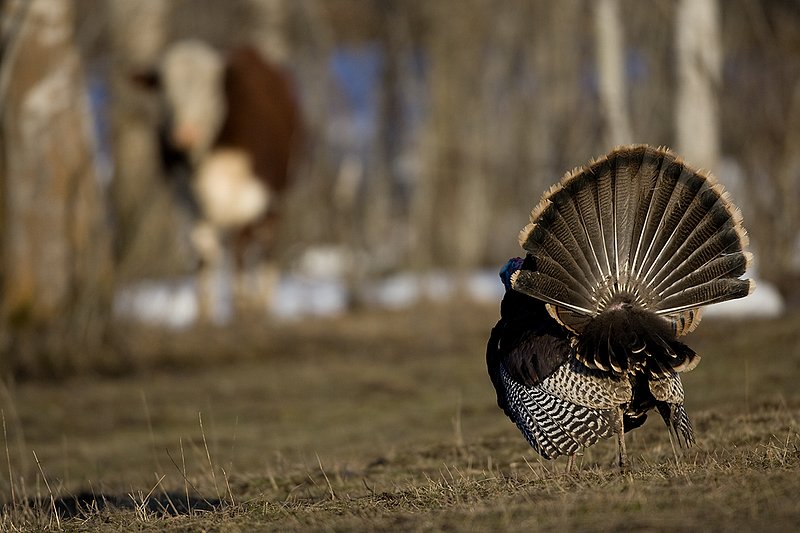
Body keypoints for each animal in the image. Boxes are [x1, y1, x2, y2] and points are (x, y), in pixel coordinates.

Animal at [139, 40, 303, 322]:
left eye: (210, 90)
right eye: (165, 90)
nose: (185, 134)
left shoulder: (252, 195)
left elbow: (241, 247)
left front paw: (242, 306)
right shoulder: (187, 199)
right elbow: (203, 251)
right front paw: (203, 313)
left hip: (276, 194)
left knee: (264, 242)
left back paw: (260, 301)